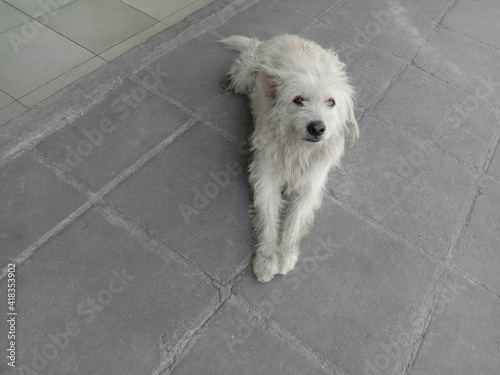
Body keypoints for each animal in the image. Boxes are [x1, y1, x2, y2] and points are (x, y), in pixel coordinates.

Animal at [221, 34, 358, 282]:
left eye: (331, 102)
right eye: (298, 100)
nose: (317, 128)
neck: (298, 150)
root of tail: (284, 37)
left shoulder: (310, 186)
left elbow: (294, 222)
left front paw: (286, 255)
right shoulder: (265, 179)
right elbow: (267, 221)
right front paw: (266, 260)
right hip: (243, 77)